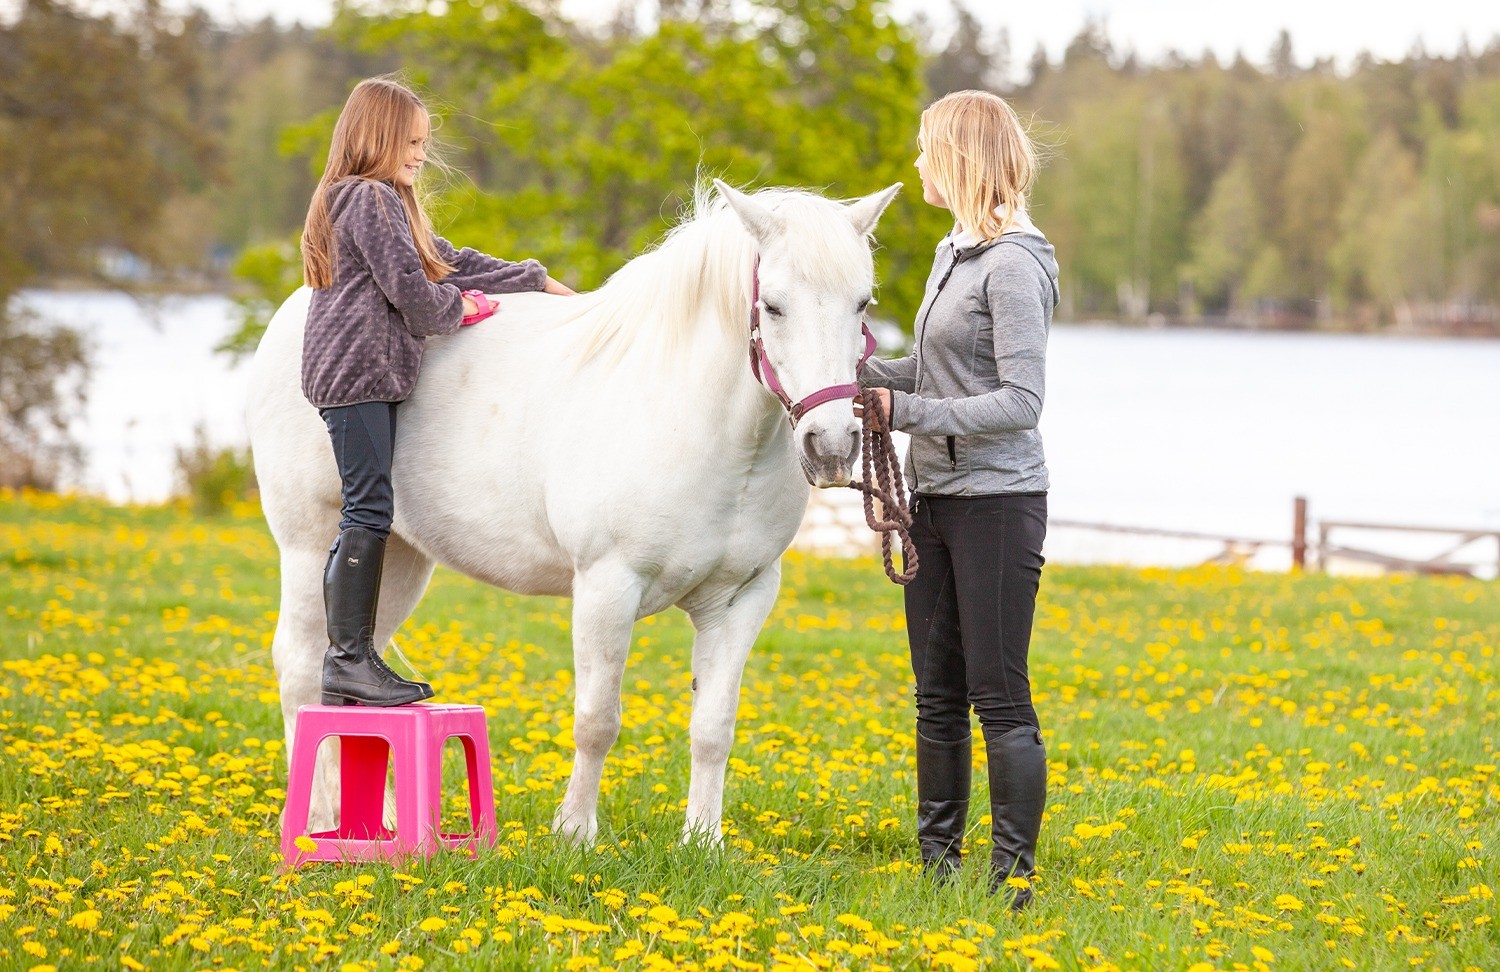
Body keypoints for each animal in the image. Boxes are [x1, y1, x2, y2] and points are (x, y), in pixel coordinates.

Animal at [250, 180, 894, 840]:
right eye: (772, 306)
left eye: (862, 303)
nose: (832, 444)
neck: (694, 421)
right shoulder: (608, 586)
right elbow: (597, 720)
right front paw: (576, 833)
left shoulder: (743, 598)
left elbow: (714, 727)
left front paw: (704, 840)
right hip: (310, 546)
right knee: (299, 667)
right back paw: (317, 819)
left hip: (400, 558)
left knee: (356, 665)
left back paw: (373, 824)